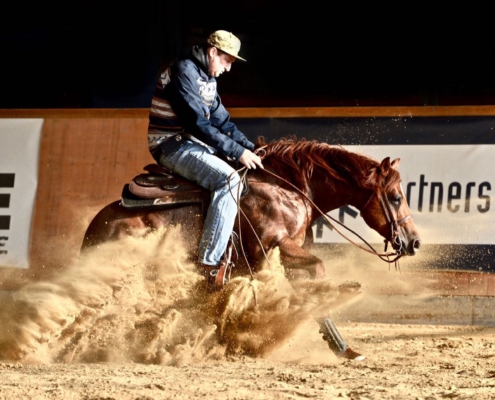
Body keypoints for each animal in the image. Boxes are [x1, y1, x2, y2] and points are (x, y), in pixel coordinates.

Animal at [81, 136, 422, 281]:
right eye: (395, 197)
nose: (415, 241)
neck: (287, 188)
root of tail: (96, 225)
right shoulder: (269, 247)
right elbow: (319, 268)